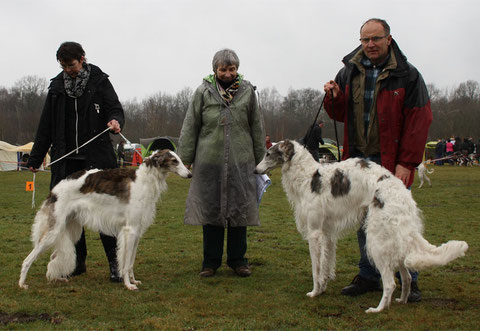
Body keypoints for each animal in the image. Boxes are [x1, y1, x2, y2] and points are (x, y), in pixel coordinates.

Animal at [18, 150, 191, 290]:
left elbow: (131, 262)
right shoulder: (130, 229)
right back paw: (22, 283)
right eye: (174, 160)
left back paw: (58, 278)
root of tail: (54, 190)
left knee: (54, 256)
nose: (190, 174)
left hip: (71, 230)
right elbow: (126, 263)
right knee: (28, 259)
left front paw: (134, 281)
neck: (144, 181)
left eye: (179, 159)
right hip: (54, 230)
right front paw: (128, 285)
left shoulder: (137, 231)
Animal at [255, 141, 468, 314]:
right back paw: (402, 300)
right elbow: (326, 265)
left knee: (390, 283)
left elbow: (316, 268)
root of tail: (401, 194)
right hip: (394, 241)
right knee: (406, 277)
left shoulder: (315, 233)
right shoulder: (327, 234)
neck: (307, 176)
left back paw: (378, 308)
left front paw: (314, 292)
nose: (255, 170)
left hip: (376, 240)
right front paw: (323, 288)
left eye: (268, 153)